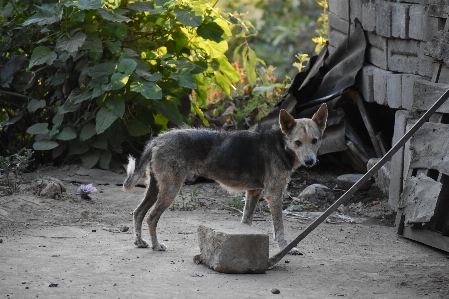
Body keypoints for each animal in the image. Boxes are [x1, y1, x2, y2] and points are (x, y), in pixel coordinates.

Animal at [122, 104, 326, 254]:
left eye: (315, 141)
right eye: (297, 142)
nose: (310, 161)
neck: (281, 144)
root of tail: (158, 139)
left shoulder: (254, 192)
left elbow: (246, 222)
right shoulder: (274, 195)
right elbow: (280, 229)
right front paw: (286, 249)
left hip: (156, 187)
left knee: (138, 213)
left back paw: (140, 241)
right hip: (170, 189)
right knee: (151, 217)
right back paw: (156, 245)